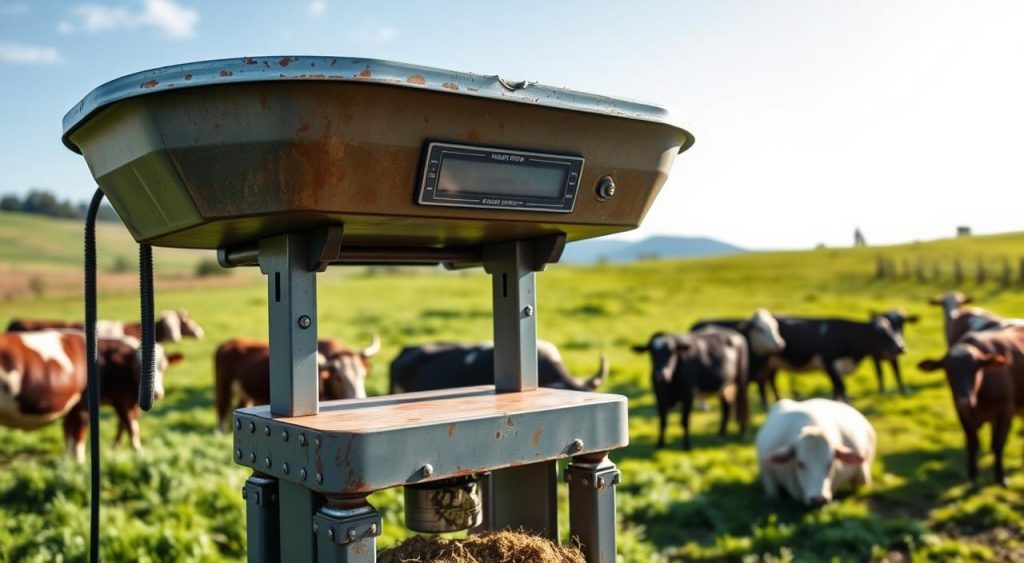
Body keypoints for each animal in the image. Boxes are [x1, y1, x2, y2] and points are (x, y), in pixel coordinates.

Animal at [211, 335, 380, 431]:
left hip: (244, 393)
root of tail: (226, 344)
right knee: (221, 409)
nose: (359, 398)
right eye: (338, 378)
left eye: (363, 375)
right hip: (223, 386)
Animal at [913, 327, 1024, 489]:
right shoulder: (962, 414)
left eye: (976, 368)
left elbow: (997, 444)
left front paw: (1000, 477)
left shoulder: (1005, 412)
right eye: (948, 370)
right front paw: (972, 478)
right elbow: (972, 444)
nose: (964, 400)